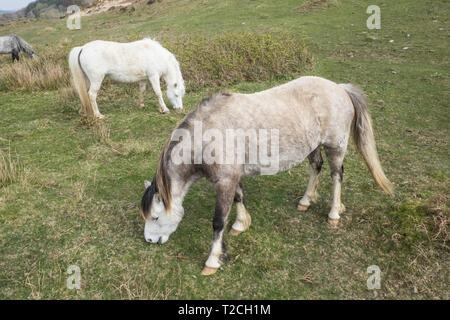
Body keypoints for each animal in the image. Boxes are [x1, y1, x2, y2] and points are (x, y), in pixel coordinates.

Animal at [141, 75, 394, 276]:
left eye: (155, 217)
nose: (150, 241)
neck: (208, 135)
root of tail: (340, 88)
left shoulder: (224, 182)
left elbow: (218, 221)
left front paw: (212, 261)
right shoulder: (233, 177)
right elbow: (239, 198)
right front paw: (241, 224)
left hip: (336, 146)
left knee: (336, 175)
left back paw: (334, 213)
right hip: (313, 145)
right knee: (316, 166)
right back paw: (305, 201)